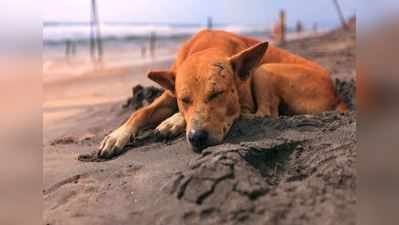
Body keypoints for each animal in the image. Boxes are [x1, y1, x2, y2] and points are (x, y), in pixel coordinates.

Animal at [98, 29, 348, 156]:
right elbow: (139, 113)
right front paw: (116, 136)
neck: (207, 46)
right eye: (184, 100)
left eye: (218, 94)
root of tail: (337, 94)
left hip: (264, 70)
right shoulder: (170, 95)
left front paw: (172, 121)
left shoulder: (245, 100)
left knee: (267, 113)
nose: (197, 138)